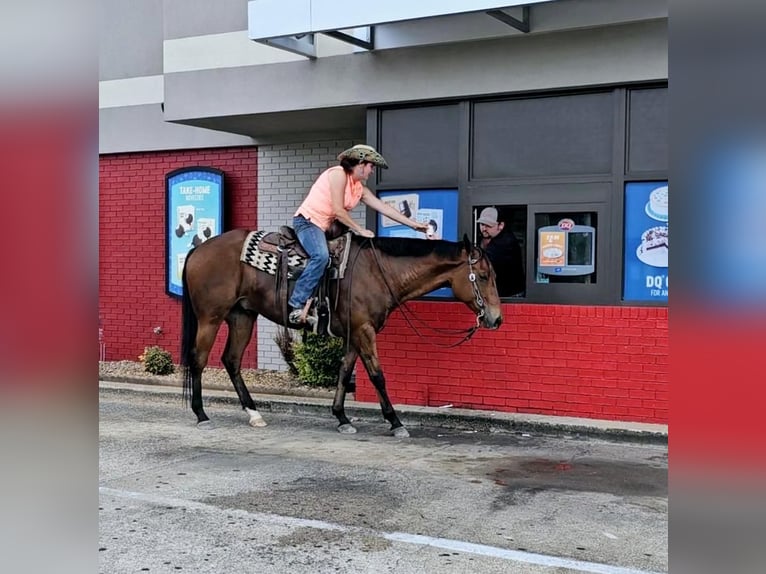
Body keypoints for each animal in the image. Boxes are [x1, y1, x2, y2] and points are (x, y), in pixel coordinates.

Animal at [179, 227, 504, 438]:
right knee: (198, 360)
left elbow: (345, 371)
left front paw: (341, 417)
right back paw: (201, 414)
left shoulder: (354, 332)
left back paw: (254, 414)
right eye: (483, 276)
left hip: (242, 315)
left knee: (231, 360)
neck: (377, 271)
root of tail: (199, 249)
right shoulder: (364, 330)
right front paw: (395, 422)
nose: (496, 318)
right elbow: (376, 375)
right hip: (210, 317)